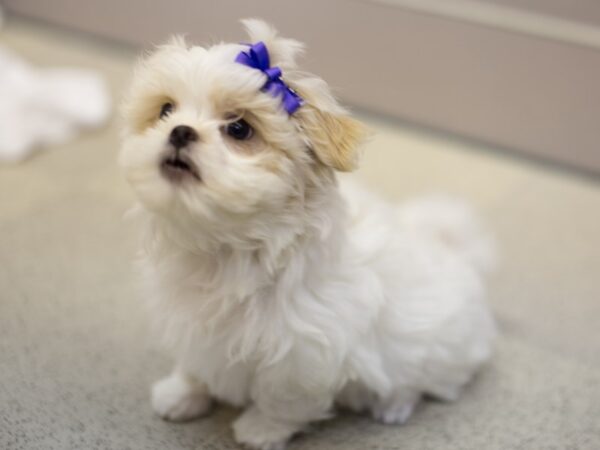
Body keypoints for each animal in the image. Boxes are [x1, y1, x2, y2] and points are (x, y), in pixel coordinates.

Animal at [118, 18, 496, 450]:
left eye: (239, 128)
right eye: (166, 109)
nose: (180, 131)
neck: (229, 248)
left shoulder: (302, 353)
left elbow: (283, 399)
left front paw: (260, 430)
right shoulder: (193, 324)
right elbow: (196, 362)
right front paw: (182, 393)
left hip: (436, 348)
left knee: (419, 379)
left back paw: (393, 406)